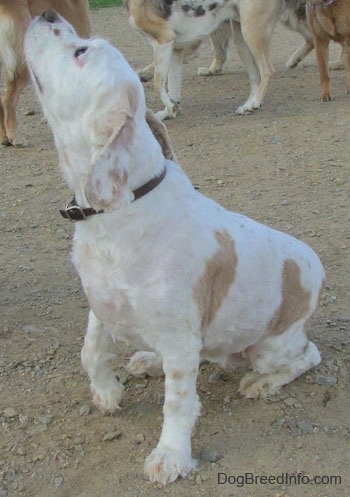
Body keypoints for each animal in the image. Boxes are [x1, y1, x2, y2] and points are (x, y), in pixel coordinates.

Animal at [25, 10, 326, 484]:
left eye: (80, 52)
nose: (48, 13)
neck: (119, 213)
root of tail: (317, 265)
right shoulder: (100, 303)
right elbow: (91, 351)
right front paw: (107, 392)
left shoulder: (181, 340)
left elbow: (178, 401)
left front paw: (171, 455)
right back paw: (148, 358)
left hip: (272, 346)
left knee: (307, 356)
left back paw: (261, 383)